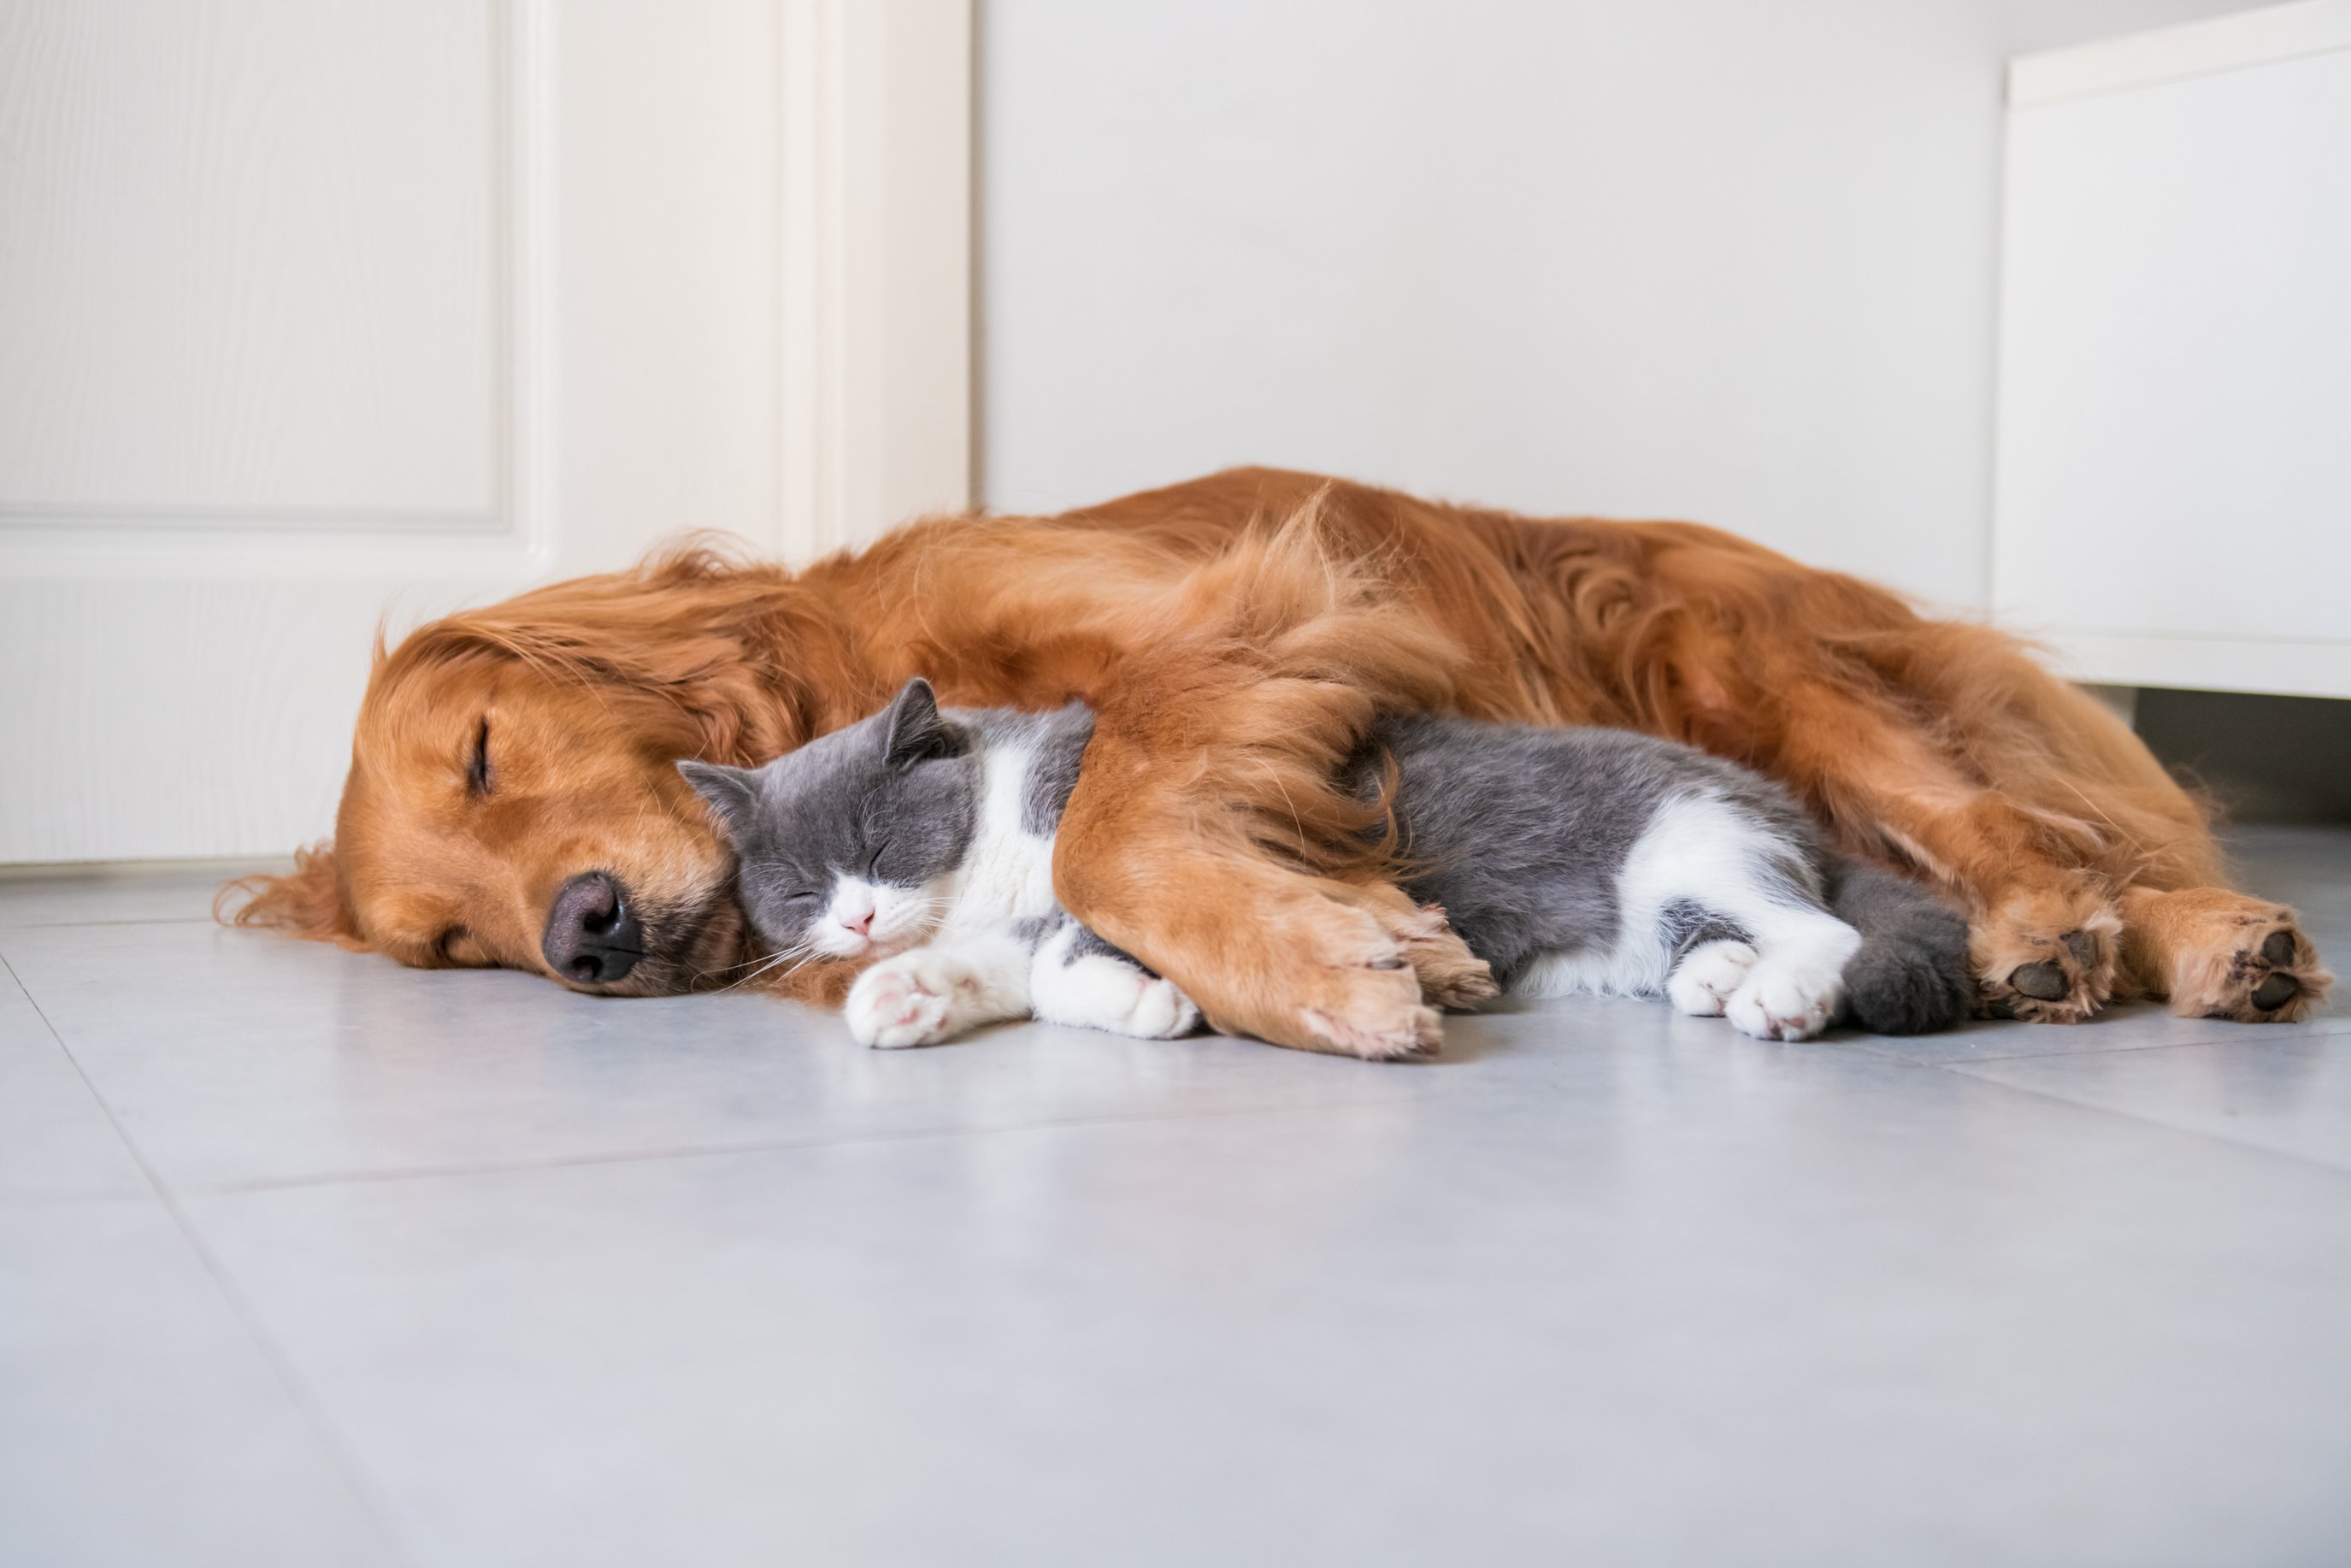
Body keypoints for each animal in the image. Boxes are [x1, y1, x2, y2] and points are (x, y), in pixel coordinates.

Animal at [681, 681, 1965, 1048]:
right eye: (796, 887)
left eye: (874, 846)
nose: (852, 921)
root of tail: (1784, 802)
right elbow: (1008, 971)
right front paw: (901, 996)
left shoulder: (1137, 858)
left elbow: (1063, 957)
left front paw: (1152, 1001)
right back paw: (1716, 978)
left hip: (1689, 841)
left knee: (1827, 932)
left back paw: (1779, 994)